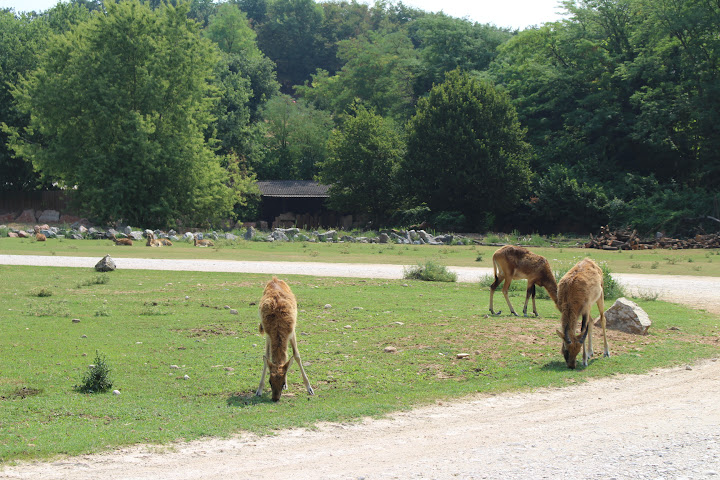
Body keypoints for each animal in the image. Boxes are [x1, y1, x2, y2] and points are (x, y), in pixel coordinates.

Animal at [258, 276, 314, 404]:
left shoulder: (292, 331)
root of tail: (275, 279)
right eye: (270, 381)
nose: (275, 398)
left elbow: (296, 356)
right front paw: (259, 390)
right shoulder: (268, 334)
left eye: (282, 382)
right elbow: (266, 357)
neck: (278, 325)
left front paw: (309, 389)